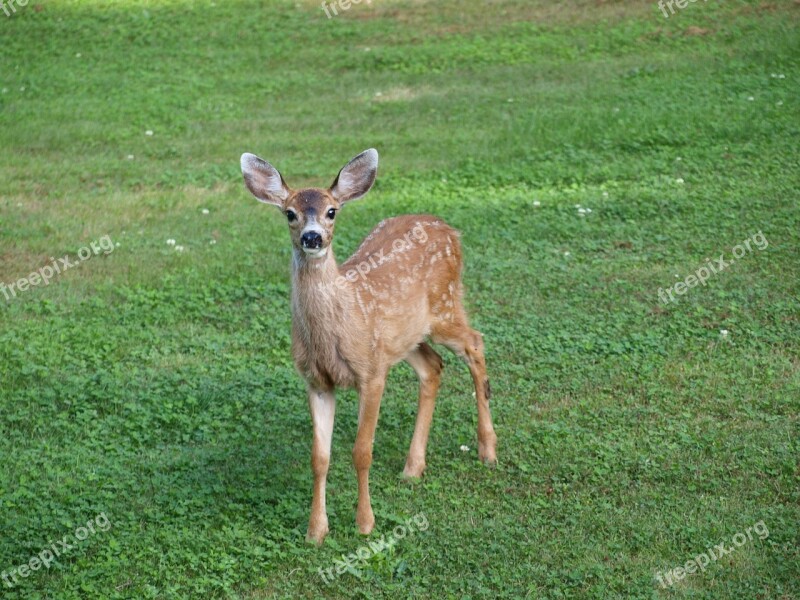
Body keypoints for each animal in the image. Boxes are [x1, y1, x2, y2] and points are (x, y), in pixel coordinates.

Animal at [238, 149, 496, 544]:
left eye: (332, 211)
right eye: (290, 213)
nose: (312, 237)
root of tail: (449, 229)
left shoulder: (371, 373)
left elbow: (362, 452)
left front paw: (365, 523)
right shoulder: (317, 381)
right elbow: (319, 457)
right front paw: (316, 531)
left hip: (445, 307)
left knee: (475, 343)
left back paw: (487, 449)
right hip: (404, 337)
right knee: (433, 366)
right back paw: (413, 466)